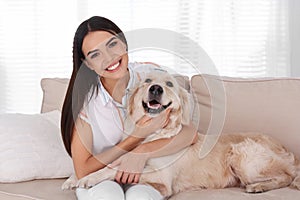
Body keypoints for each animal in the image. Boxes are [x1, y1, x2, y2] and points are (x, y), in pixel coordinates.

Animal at [62, 68, 300, 198]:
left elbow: (113, 169)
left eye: (169, 84)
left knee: (287, 176)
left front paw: (88, 179)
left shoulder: (161, 179)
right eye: (147, 81)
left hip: (242, 153)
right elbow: (109, 163)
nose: (156, 89)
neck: (155, 133)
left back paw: (258, 186)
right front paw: (74, 177)